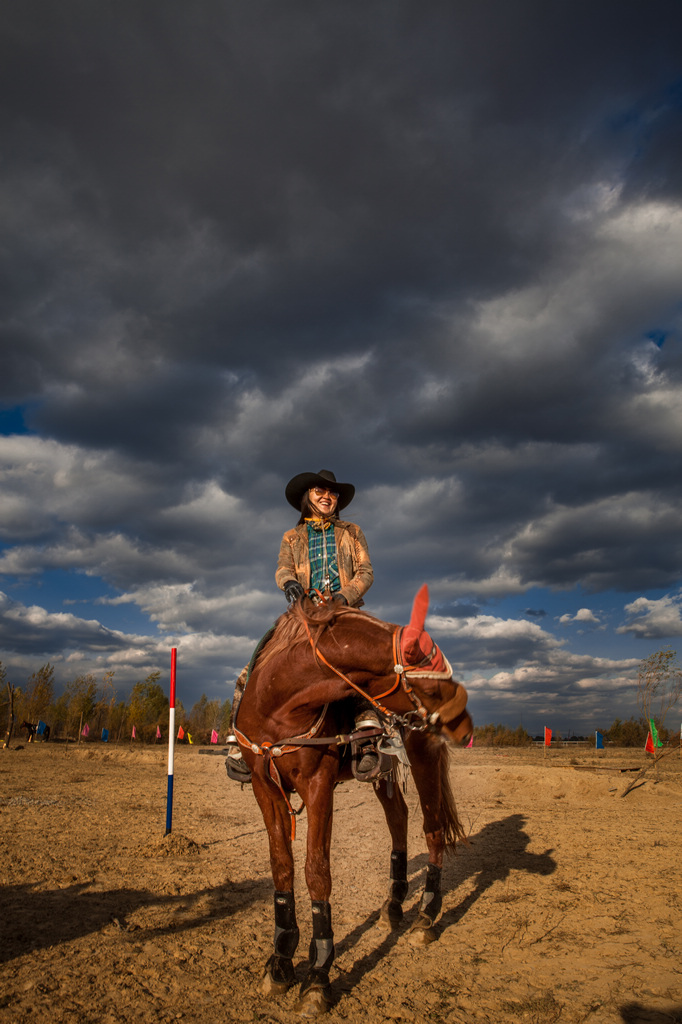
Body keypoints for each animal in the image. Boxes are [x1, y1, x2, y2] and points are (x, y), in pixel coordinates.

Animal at [231, 585, 471, 1015]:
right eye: (430, 685)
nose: (466, 725)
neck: (278, 703)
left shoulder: (318, 785)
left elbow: (317, 872)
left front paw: (318, 975)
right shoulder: (264, 786)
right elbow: (281, 868)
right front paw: (280, 960)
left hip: (423, 755)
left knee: (432, 828)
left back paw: (427, 916)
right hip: (382, 774)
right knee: (399, 819)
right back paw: (393, 906)